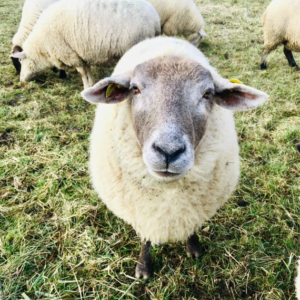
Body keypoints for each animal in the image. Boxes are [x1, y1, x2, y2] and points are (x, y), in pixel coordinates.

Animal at [8, 0, 162, 88]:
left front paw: (86, 87)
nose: (21, 80)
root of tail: (155, 18)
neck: (42, 46)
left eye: (21, 61)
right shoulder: (81, 54)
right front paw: (92, 83)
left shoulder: (70, 54)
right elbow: (87, 70)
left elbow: (82, 73)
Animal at [79, 36, 268, 278]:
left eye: (207, 94)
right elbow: (145, 239)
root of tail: (165, 38)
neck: (167, 192)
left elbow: (192, 225)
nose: (169, 151)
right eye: (135, 89)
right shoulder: (142, 210)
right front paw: (143, 267)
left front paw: (194, 248)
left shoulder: (194, 208)